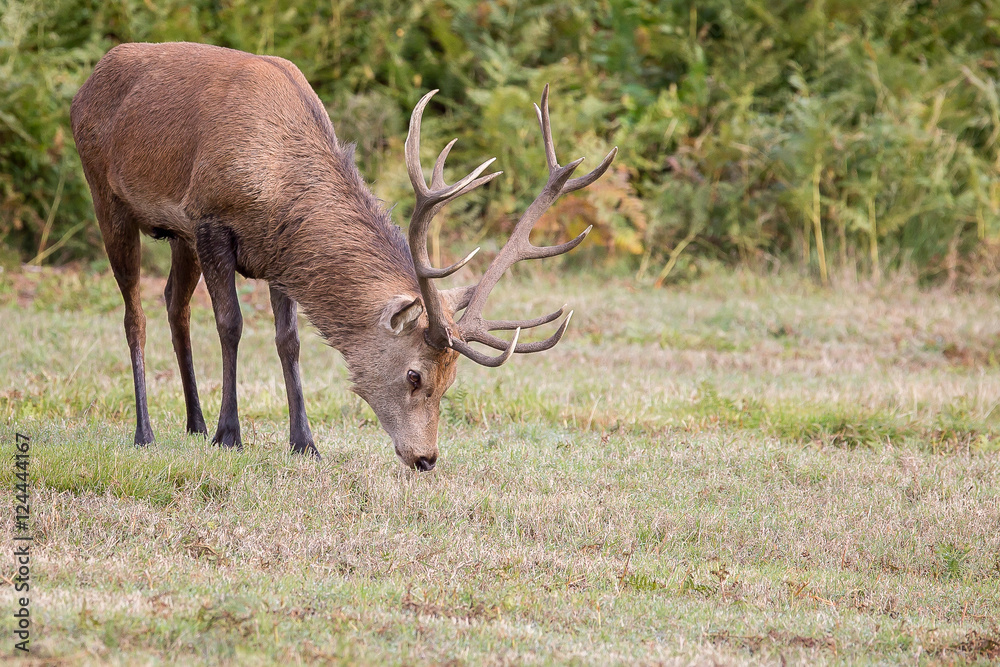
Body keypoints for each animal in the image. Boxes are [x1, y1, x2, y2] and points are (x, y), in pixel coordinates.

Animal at [70, 42, 616, 470]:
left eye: (451, 381)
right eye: (414, 375)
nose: (426, 458)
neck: (277, 182)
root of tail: (88, 81)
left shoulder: (275, 253)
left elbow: (288, 340)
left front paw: (304, 443)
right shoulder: (210, 218)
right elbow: (230, 324)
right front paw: (231, 436)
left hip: (176, 234)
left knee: (173, 304)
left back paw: (194, 423)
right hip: (106, 195)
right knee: (135, 314)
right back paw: (146, 431)